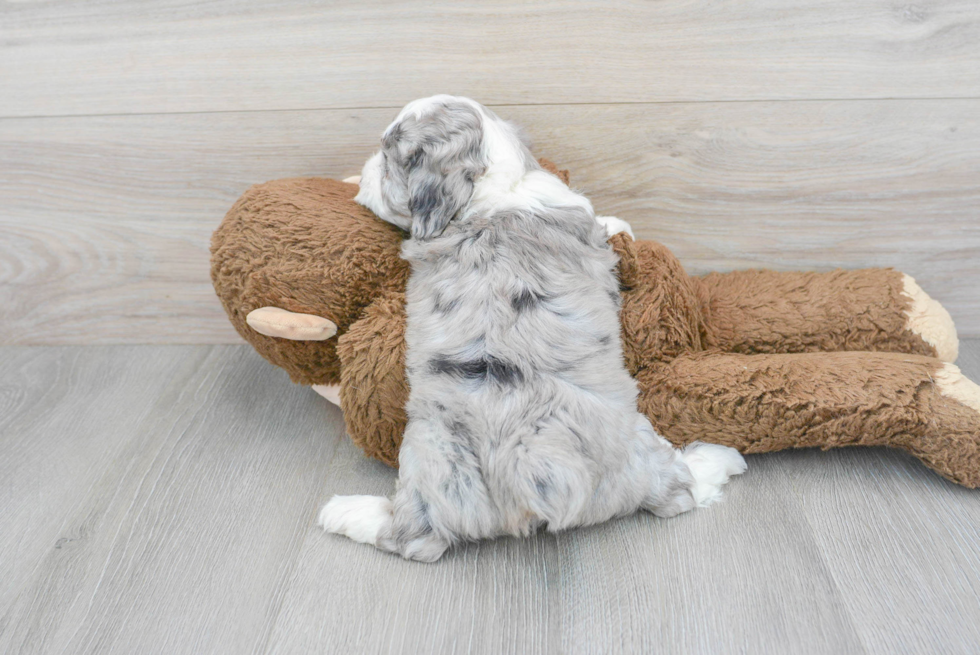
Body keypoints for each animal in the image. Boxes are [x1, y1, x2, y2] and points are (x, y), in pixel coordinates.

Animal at [318, 96, 748, 564]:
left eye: (387, 160)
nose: (360, 175)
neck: (494, 189)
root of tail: (529, 471)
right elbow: (609, 225)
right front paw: (621, 223)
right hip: (636, 447)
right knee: (677, 492)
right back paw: (719, 457)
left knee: (416, 535)